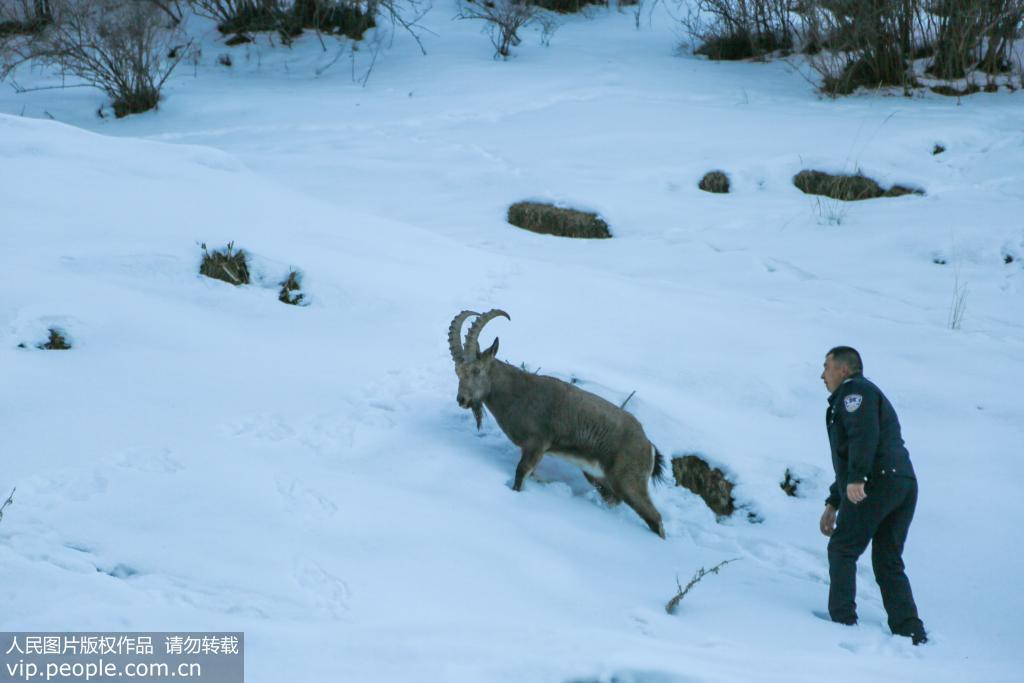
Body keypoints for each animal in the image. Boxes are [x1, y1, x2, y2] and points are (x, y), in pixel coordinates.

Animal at [446, 309, 667, 540]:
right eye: (458, 371)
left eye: (477, 370)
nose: (462, 399)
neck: (518, 393)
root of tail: (648, 446)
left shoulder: (536, 444)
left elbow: (521, 474)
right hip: (600, 478)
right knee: (615, 500)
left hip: (629, 481)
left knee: (654, 518)